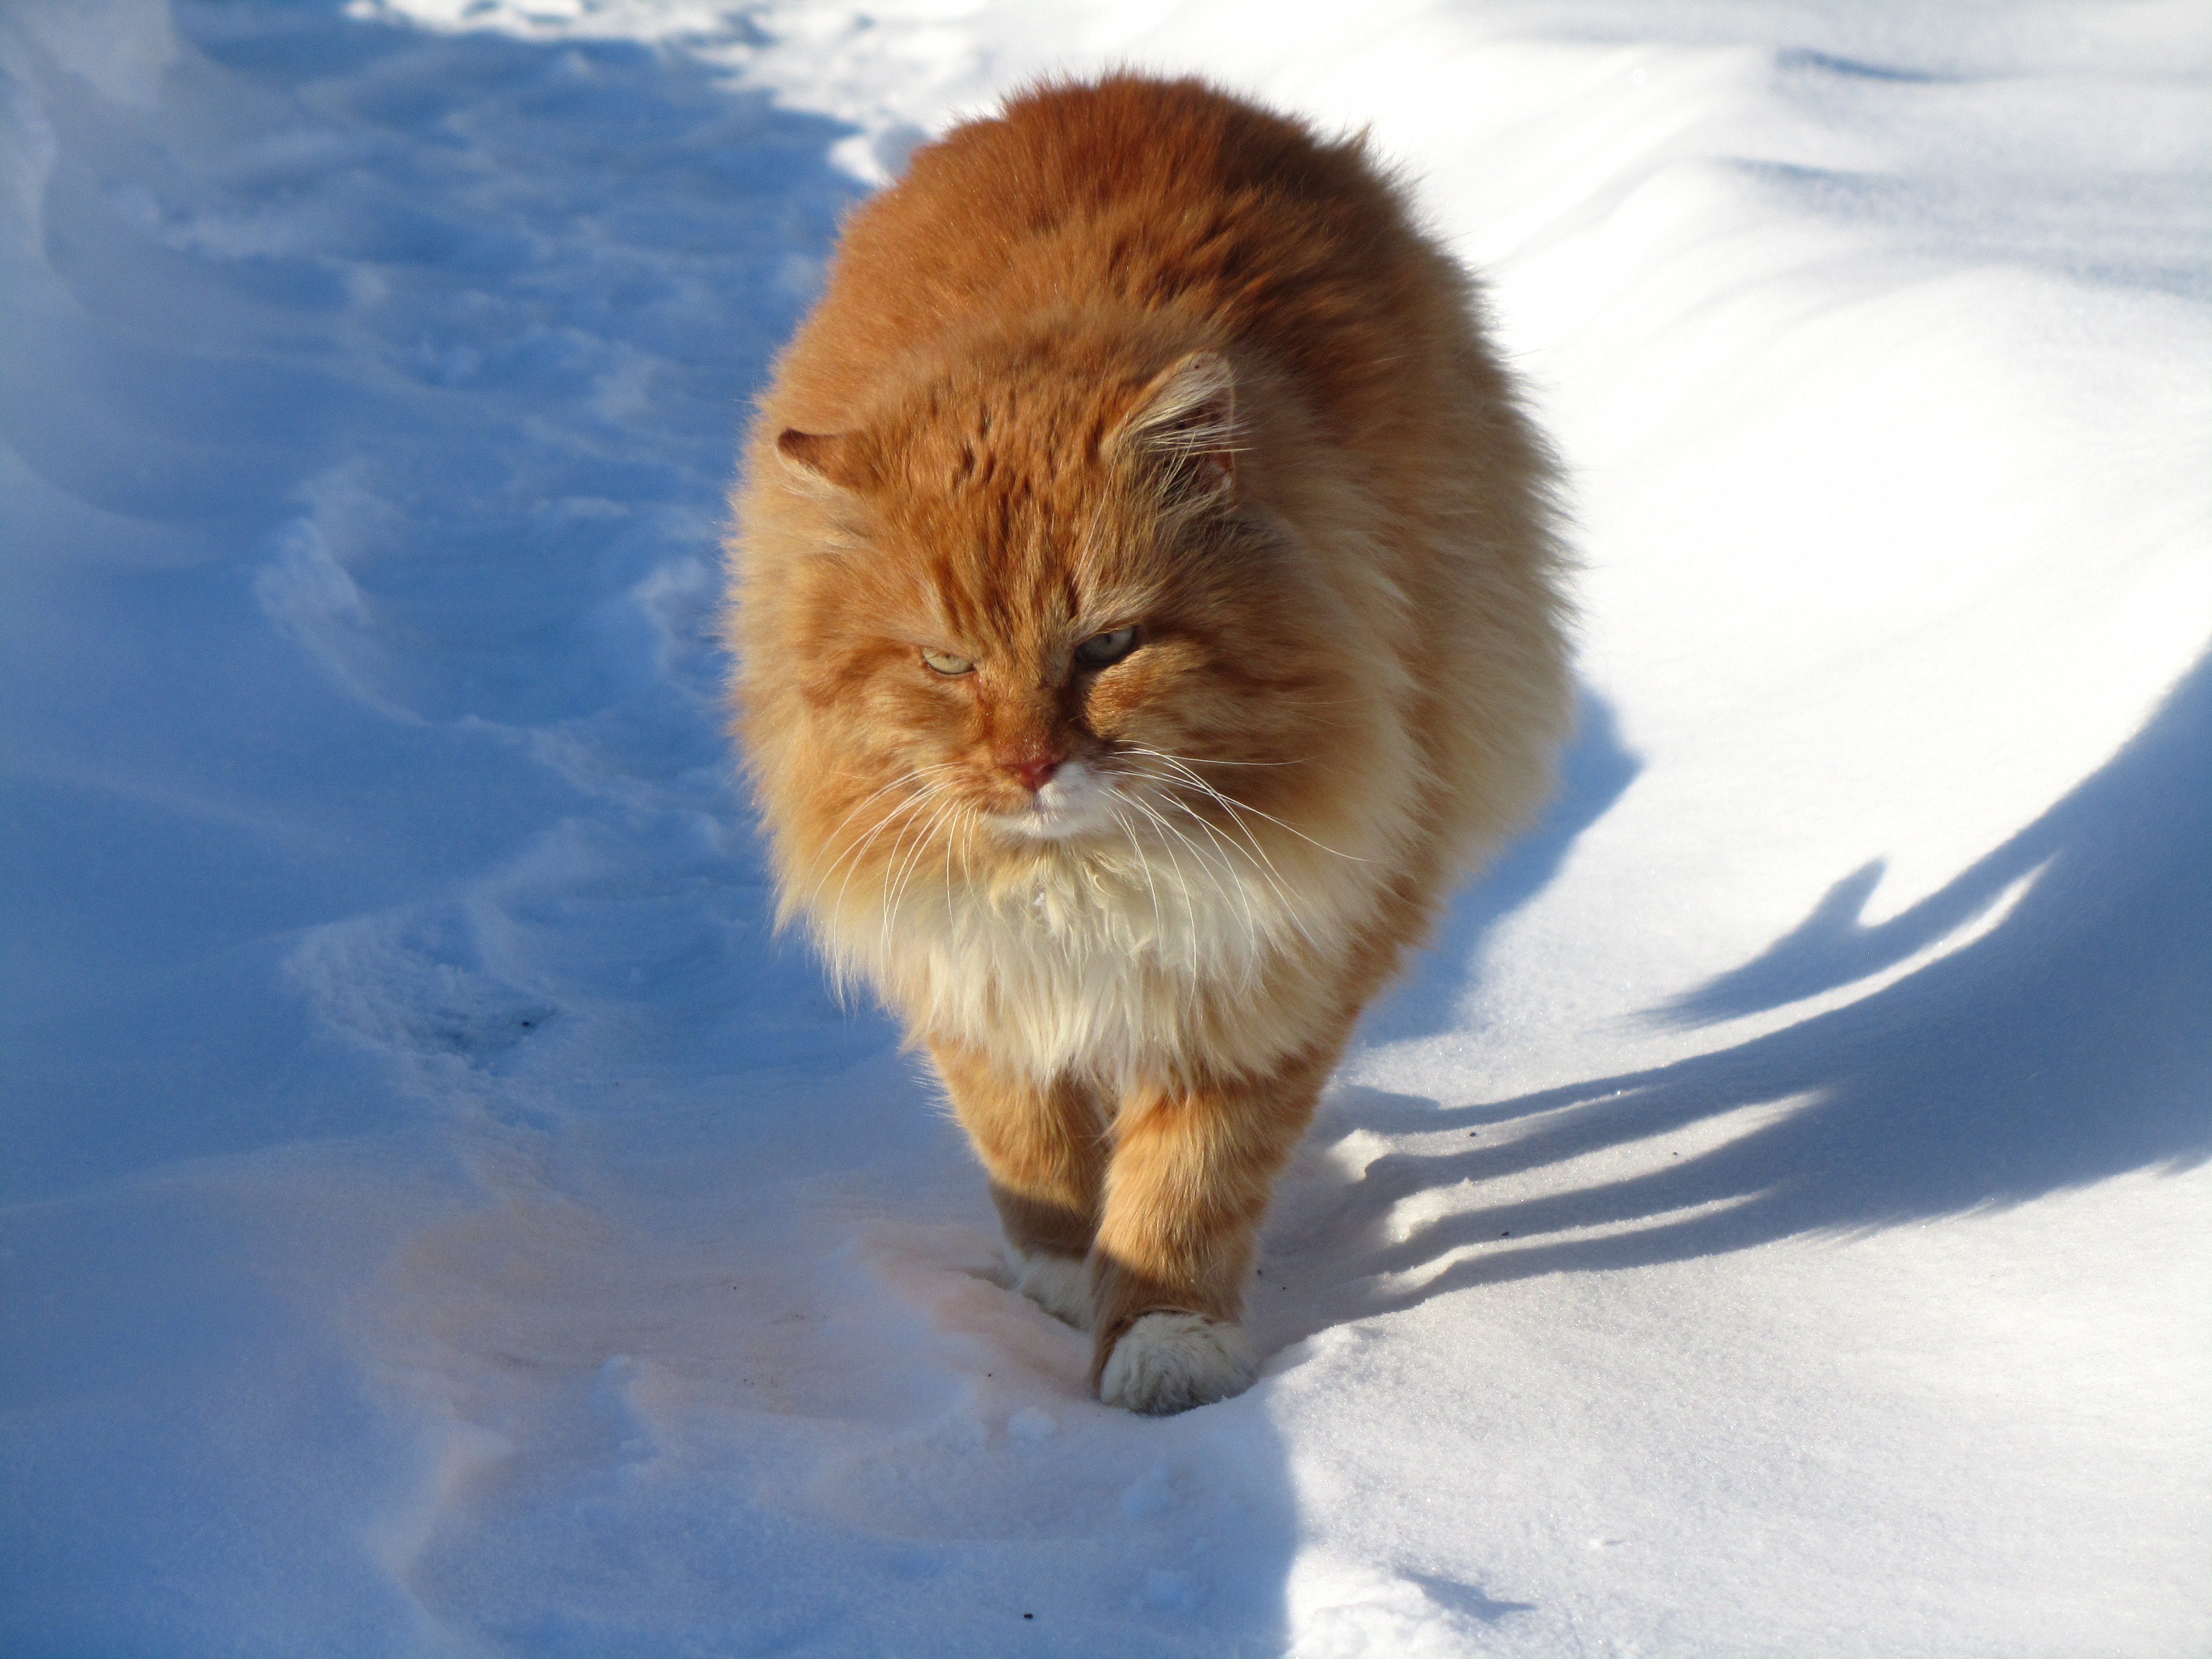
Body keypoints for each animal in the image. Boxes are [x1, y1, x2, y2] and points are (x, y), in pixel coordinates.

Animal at [725, 68, 1575, 1415]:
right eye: (949, 664)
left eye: (1109, 647)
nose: (1029, 765)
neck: (1086, 879)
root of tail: (1138, 85)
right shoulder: (969, 964)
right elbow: (1030, 1149)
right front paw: (1064, 1287)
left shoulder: (1266, 971)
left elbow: (1186, 1189)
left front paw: (1164, 1344)